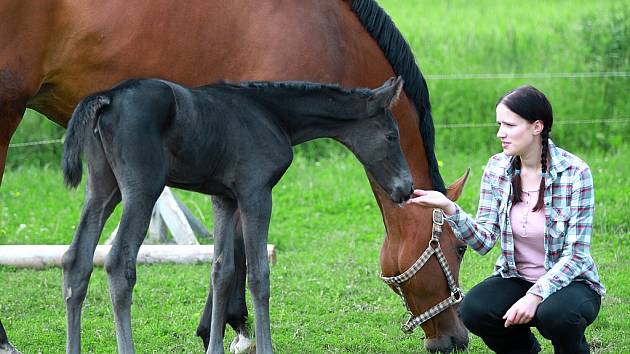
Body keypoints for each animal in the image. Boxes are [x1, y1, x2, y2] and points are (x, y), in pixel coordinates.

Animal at [0, 0, 472, 352]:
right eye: (458, 247)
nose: (455, 338)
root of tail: (106, 99)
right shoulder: (254, 189)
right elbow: (258, 269)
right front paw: (248, 337)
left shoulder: (223, 196)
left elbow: (222, 266)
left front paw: (218, 335)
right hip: (135, 187)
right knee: (118, 263)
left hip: (103, 190)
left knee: (75, 261)